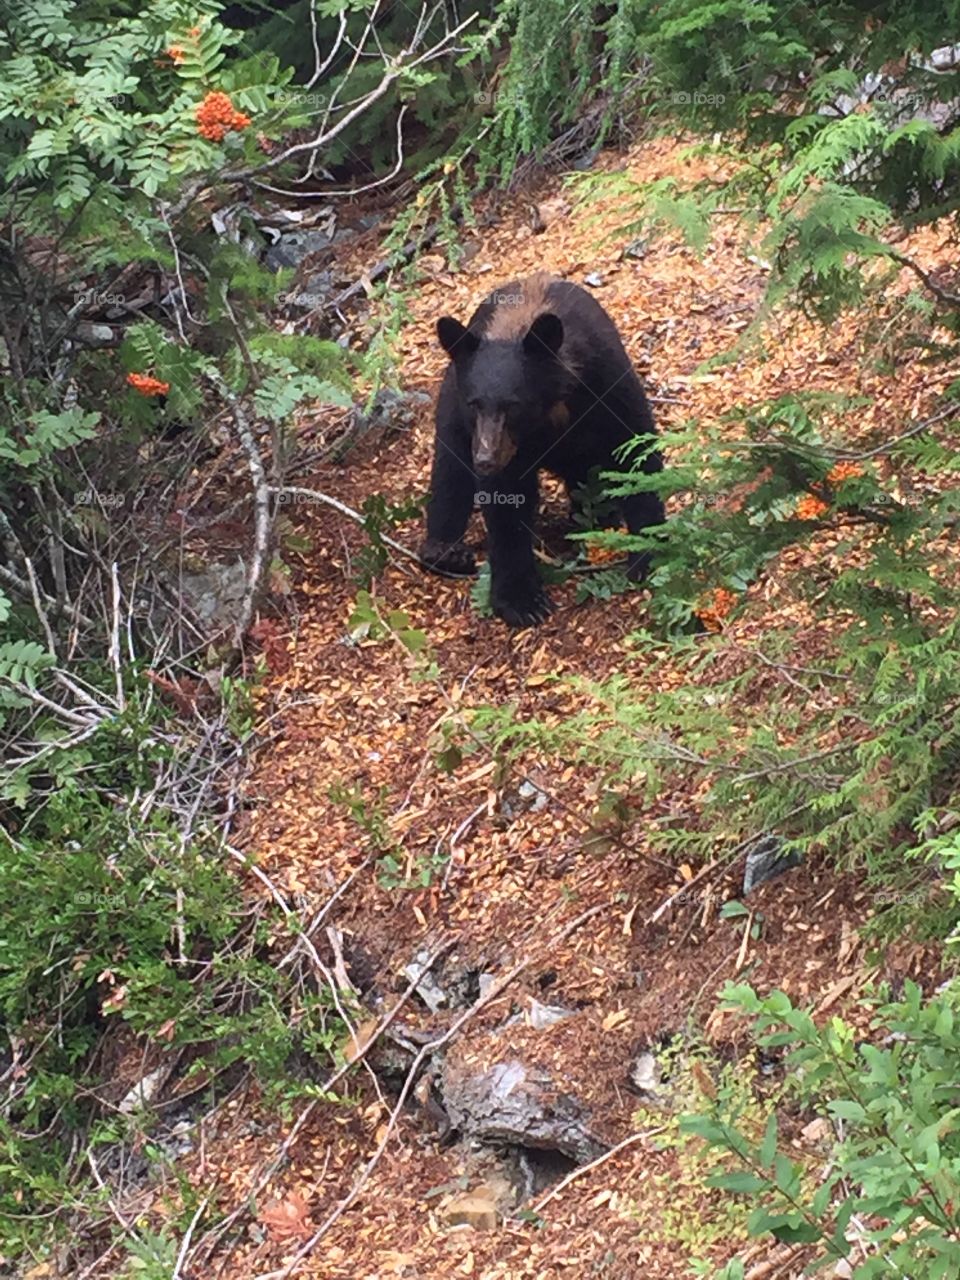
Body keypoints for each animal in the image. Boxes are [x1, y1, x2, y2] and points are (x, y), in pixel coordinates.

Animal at [418, 272, 665, 627]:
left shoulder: (607, 383)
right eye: (475, 403)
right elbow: (505, 504)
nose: (485, 459)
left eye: (512, 404)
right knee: (450, 471)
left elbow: (635, 452)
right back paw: (445, 551)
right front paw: (521, 600)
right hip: (452, 408)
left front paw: (647, 553)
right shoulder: (490, 435)